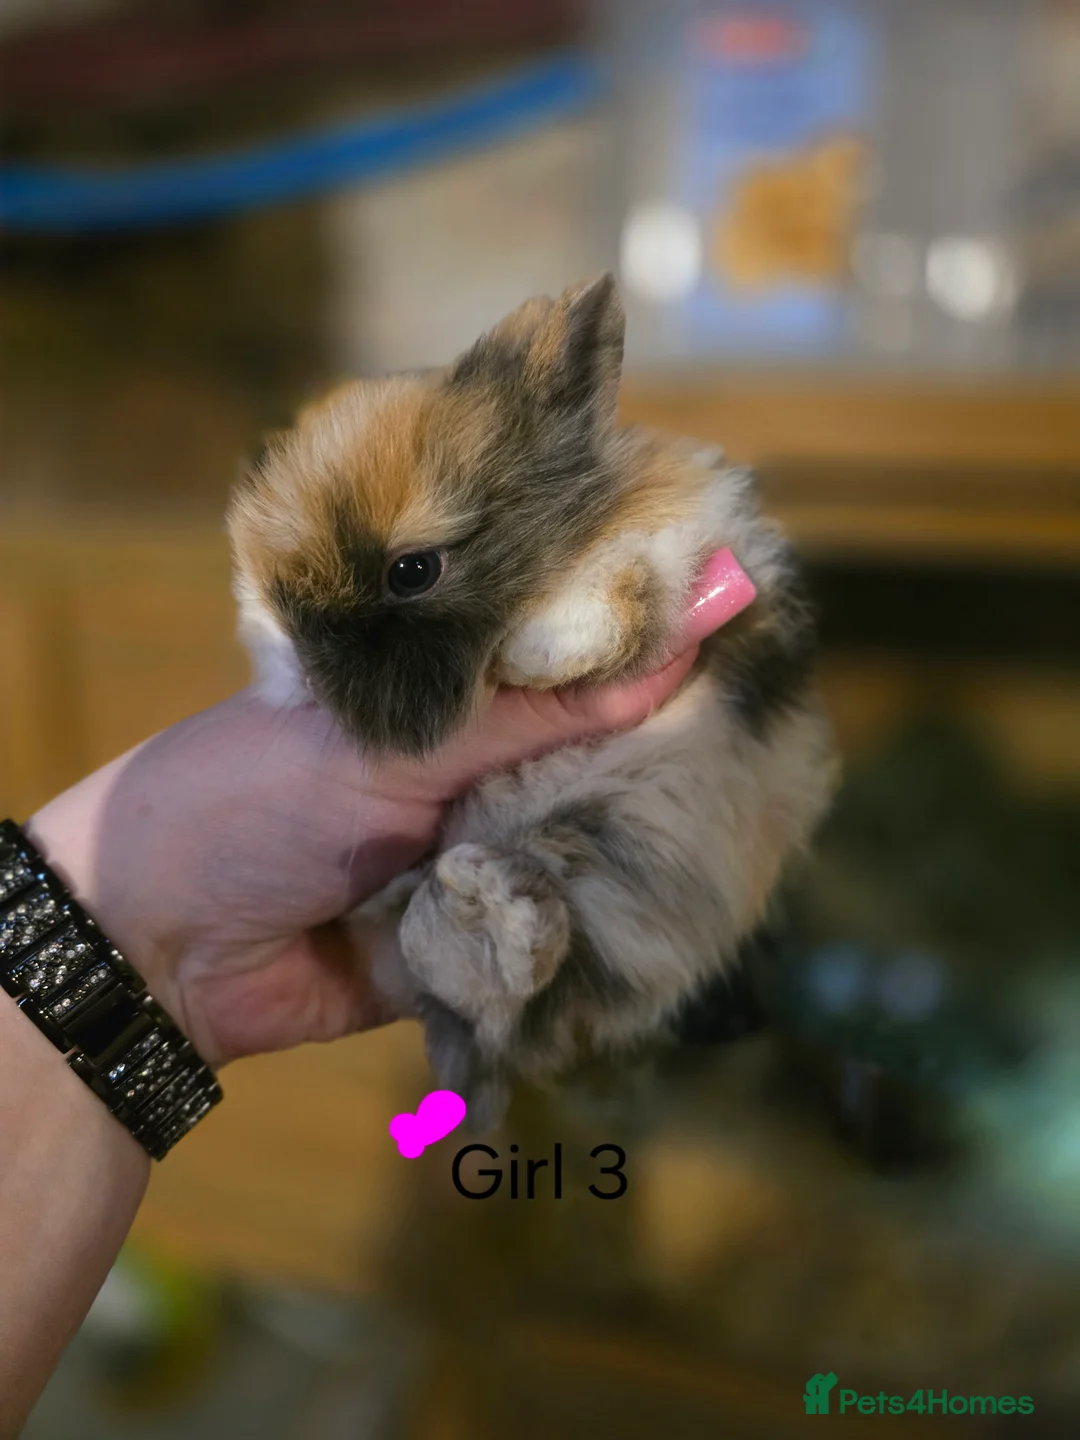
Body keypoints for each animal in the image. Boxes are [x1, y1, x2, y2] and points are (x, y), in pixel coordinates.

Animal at [228, 275, 837, 1127]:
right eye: (277, 601)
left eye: (413, 571)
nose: (307, 672)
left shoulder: (694, 545)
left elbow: (630, 582)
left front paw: (543, 649)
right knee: (470, 974)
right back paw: (488, 904)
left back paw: (495, 903)